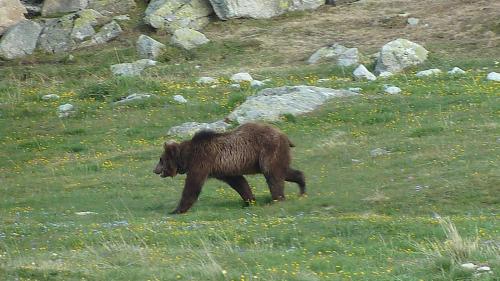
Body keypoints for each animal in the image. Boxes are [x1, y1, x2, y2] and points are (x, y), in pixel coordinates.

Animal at [154, 122, 306, 212]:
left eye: (161, 159)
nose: (154, 170)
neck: (188, 156)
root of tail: (283, 134)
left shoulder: (202, 161)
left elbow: (193, 185)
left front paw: (177, 210)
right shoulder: (223, 169)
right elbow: (239, 183)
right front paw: (250, 201)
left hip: (268, 150)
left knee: (273, 174)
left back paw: (277, 199)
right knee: (285, 171)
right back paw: (302, 188)